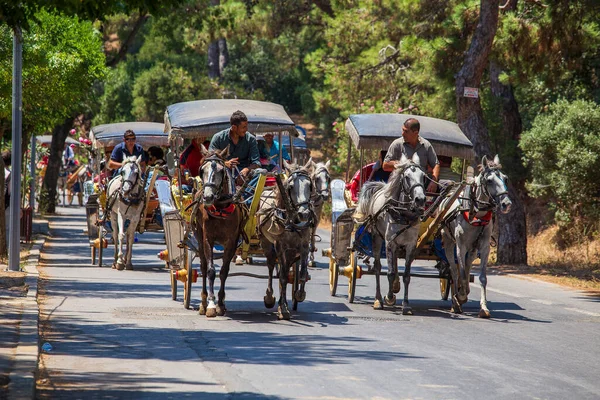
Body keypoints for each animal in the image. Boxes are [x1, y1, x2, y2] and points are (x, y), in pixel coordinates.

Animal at [189, 145, 243, 318]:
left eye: (221, 170)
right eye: (202, 170)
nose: (208, 197)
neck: (220, 207)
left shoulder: (232, 240)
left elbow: (224, 271)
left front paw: (220, 303)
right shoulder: (208, 238)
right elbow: (211, 271)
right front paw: (211, 305)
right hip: (199, 237)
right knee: (203, 266)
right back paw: (203, 302)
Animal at [256, 159, 314, 318]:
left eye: (310, 185)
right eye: (291, 186)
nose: (304, 214)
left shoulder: (304, 246)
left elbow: (301, 274)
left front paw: (299, 295)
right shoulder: (280, 246)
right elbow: (281, 277)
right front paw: (282, 308)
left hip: (291, 252)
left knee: (286, 270)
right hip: (266, 243)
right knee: (271, 266)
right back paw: (270, 298)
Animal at [356, 155, 426, 314]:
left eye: (423, 177)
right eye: (407, 177)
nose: (420, 199)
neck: (403, 214)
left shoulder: (410, 245)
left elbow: (406, 275)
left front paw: (406, 305)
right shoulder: (389, 242)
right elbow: (390, 272)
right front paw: (388, 297)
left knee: (393, 265)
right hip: (377, 238)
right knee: (378, 267)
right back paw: (378, 299)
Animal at [438, 155, 512, 318]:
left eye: (505, 178)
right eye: (489, 180)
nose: (506, 203)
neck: (475, 213)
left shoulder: (484, 247)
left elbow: (482, 278)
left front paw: (483, 307)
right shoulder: (460, 246)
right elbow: (460, 273)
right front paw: (460, 297)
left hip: (472, 250)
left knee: (466, 266)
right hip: (448, 242)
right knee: (454, 271)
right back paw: (456, 301)